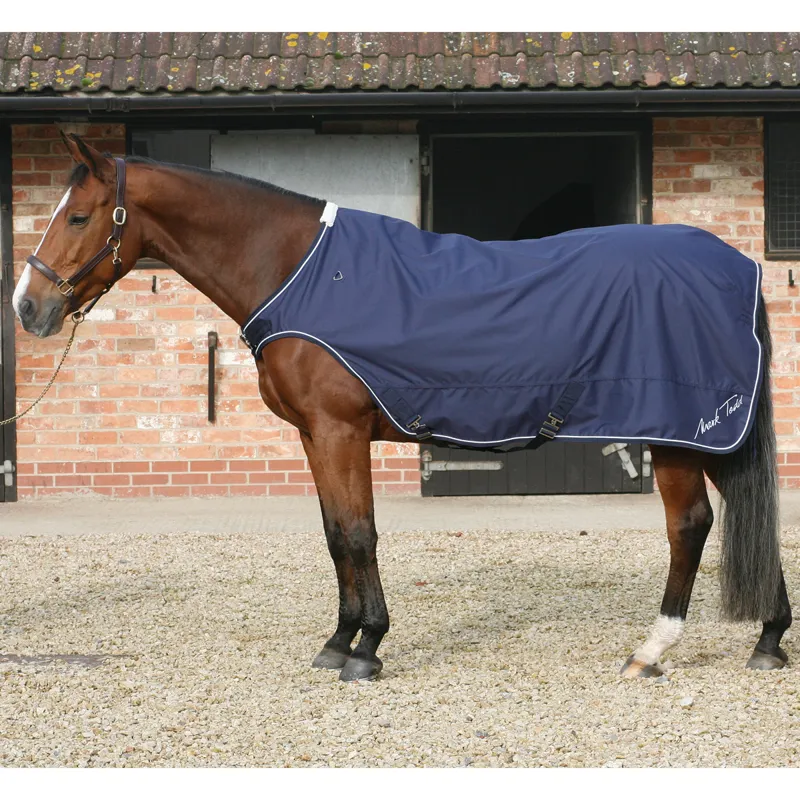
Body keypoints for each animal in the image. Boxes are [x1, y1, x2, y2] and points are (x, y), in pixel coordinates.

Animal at [11, 132, 792, 682]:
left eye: (78, 216)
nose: (28, 307)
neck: (298, 271)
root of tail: (734, 266)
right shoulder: (314, 437)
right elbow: (335, 535)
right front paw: (338, 641)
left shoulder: (340, 431)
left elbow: (360, 535)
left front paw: (368, 649)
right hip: (713, 436)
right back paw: (770, 638)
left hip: (678, 435)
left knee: (690, 526)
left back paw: (651, 650)